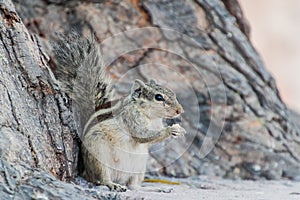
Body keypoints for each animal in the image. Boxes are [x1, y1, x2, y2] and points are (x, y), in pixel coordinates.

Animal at [52, 33, 186, 191]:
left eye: (173, 93)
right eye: (159, 97)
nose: (180, 110)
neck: (150, 116)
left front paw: (180, 130)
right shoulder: (131, 119)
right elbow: (142, 135)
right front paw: (170, 130)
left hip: (139, 168)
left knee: (133, 185)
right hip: (99, 156)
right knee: (100, 179)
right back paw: (112, 184)